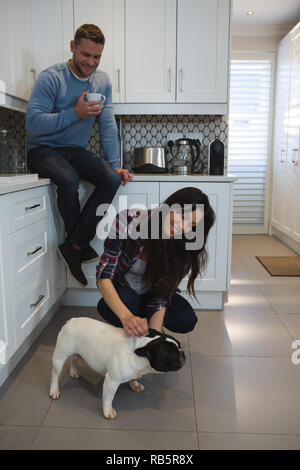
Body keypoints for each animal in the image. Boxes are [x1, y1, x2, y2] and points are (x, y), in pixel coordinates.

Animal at [49, 318, 185, 420]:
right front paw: (107, 411)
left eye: (179, 346)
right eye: (173, 355)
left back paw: (73, 372)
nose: (183, 353)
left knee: (74, 359)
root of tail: (71, 321)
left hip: (76, 352)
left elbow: (133, 378)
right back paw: (54, 390)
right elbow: (109, 397)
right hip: (60, 356)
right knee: (55, 374)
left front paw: (135, 384)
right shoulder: (112, 381)